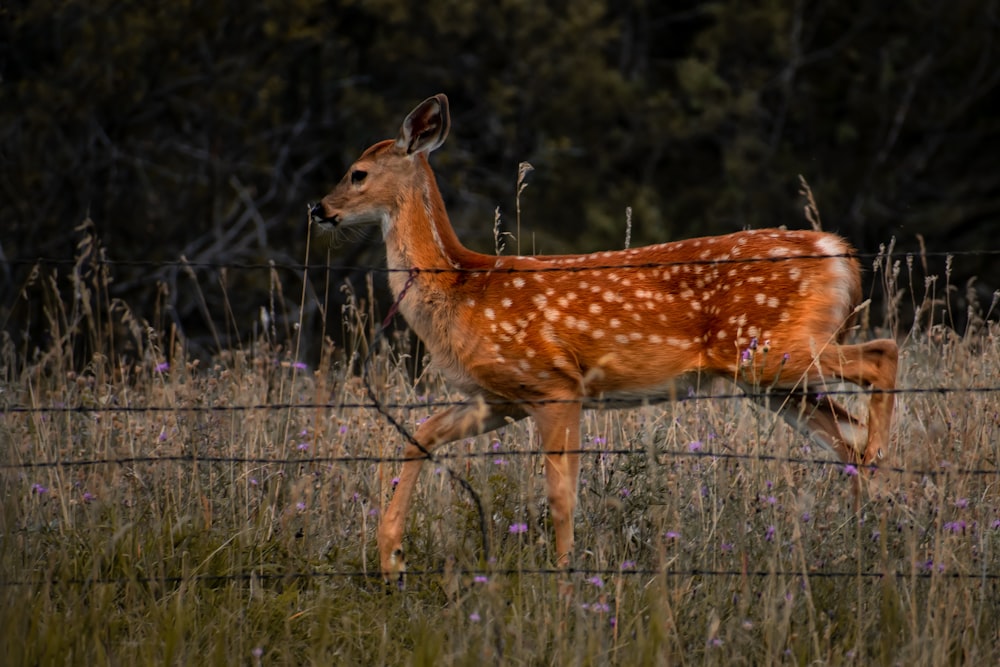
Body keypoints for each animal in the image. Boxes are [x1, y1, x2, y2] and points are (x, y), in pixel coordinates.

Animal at [310, 94, 900, 584]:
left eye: (358, 173)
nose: (319, 208)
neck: (461, 289)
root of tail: (839, 252)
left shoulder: (554, 383)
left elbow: (560, 496)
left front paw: (564, 579)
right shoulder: (499, 397)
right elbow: (419, 436)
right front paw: (390, 559)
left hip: (771, 350)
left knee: (882, 357)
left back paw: (880, 473)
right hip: (770, 380)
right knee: (844, 436)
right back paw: (868, 528)